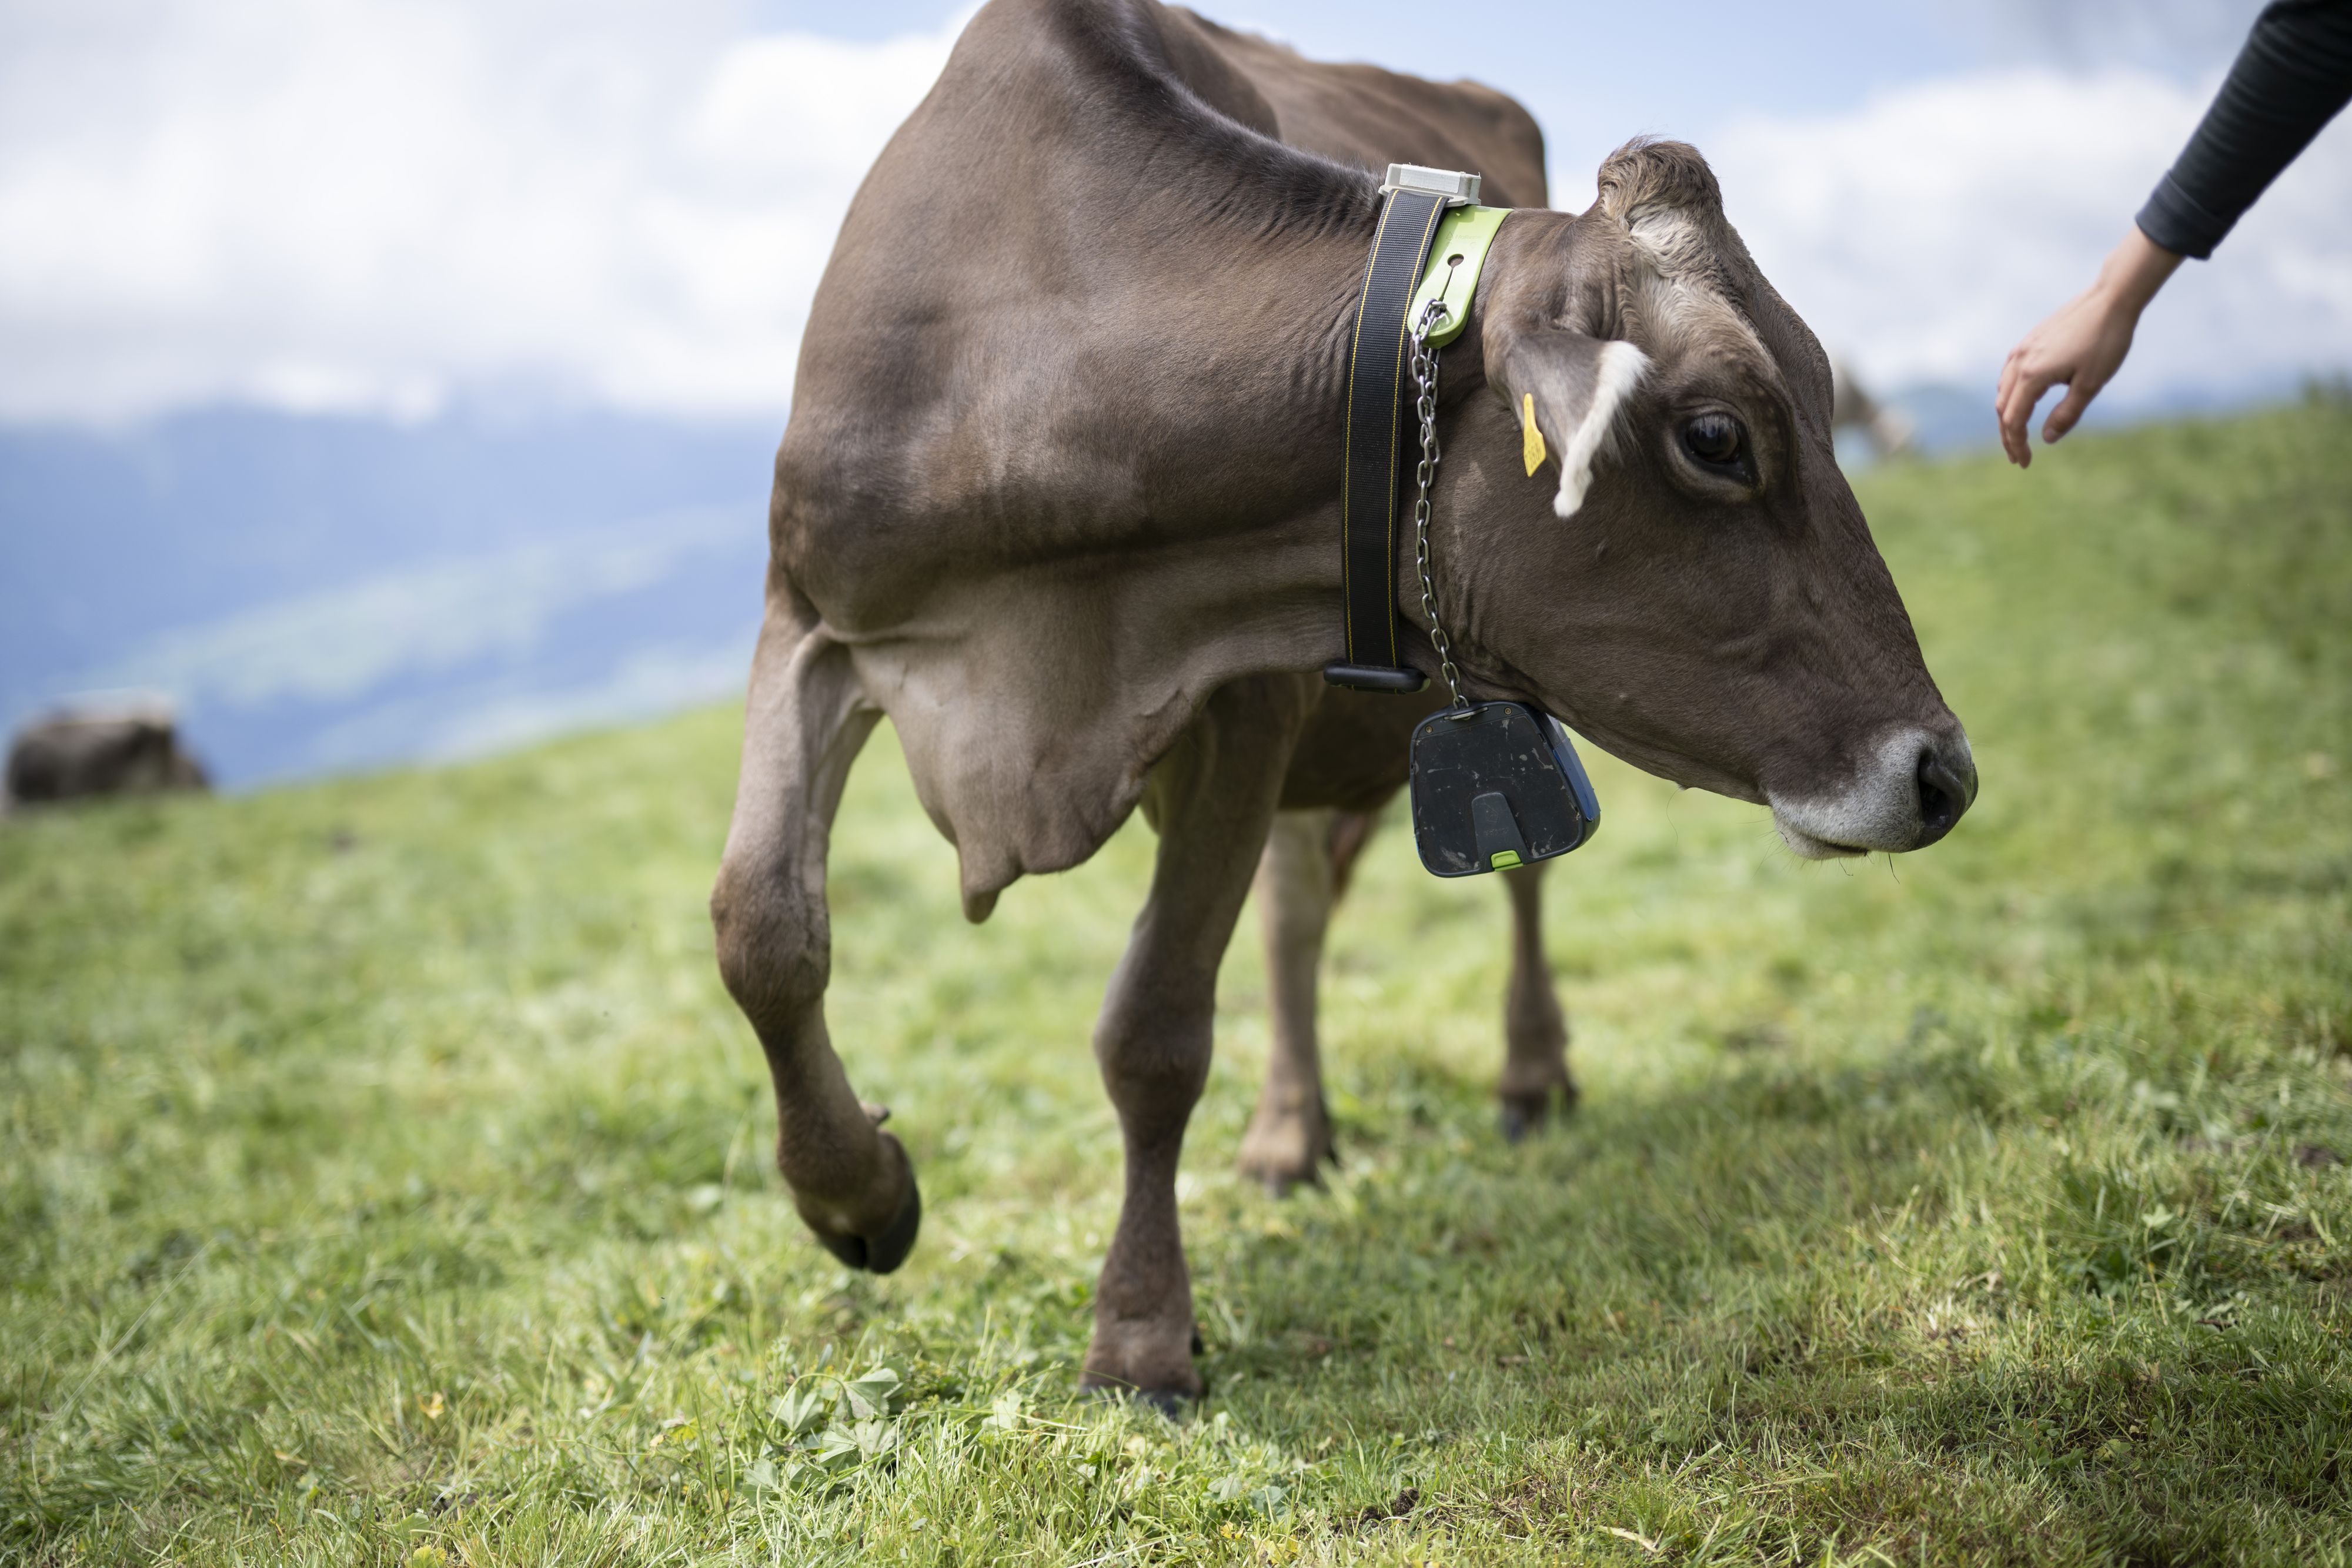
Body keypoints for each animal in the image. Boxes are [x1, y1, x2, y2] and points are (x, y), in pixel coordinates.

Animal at [710, 0, 1977, 1410]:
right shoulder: (809, 620)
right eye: (1715, 437)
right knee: (1298, 917)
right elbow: (763, 930)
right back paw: (1288, 1131)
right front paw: (856, 1195)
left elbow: (1154, 1027)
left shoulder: (1248, 698)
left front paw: (1138, 1330)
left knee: (1514, 886)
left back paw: (1529, 1071)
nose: (1942, 770)